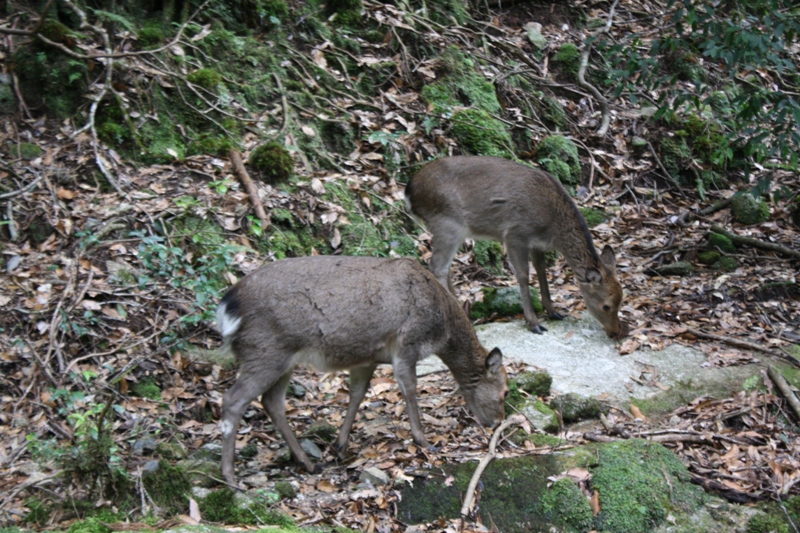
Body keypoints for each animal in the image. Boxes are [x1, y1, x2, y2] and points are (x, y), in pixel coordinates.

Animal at [216, 254, 510, 482]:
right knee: (233, 399)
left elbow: (357, 394)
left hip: (283, 358)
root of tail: (227, 306)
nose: (497, 422)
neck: (442, 328)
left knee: (271, 401)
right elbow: (410, 388)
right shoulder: (407, 343)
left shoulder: (368, 358)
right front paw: (424, 441)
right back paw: (230, 477)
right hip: (266, 351)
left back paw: (308, 463)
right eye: (505, 391)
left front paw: (340, 446)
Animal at [406, 154, 624, 336]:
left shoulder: (537, 244)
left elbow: (542, 271)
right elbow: (523, 276)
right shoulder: (515, 234)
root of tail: (409, 191)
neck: (553, 226)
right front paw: (534, 323)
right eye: (606, 306)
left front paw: (553, 312)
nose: (615, 333)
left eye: (621, 301)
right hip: (448, 224)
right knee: (437, 267)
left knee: (446, 267)